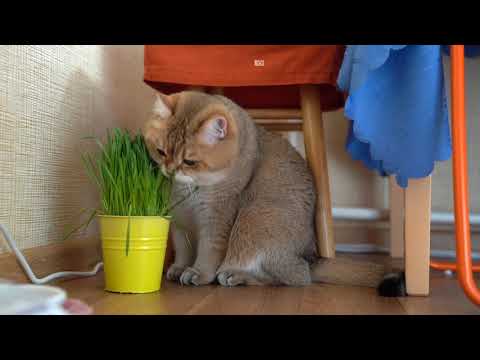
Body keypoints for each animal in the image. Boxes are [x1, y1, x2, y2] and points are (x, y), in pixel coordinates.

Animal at [142, 90, 404, 296]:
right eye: (161, 152)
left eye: (189, 161)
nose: (170, 170)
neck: (188, 189)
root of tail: (310, 257)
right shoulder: (180, 220)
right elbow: (182, 247)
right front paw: (179, 267)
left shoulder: (217, 218)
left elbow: (208, 250)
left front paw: (199, 273)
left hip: (253, 218)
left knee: (296, 277)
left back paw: (236, 276)